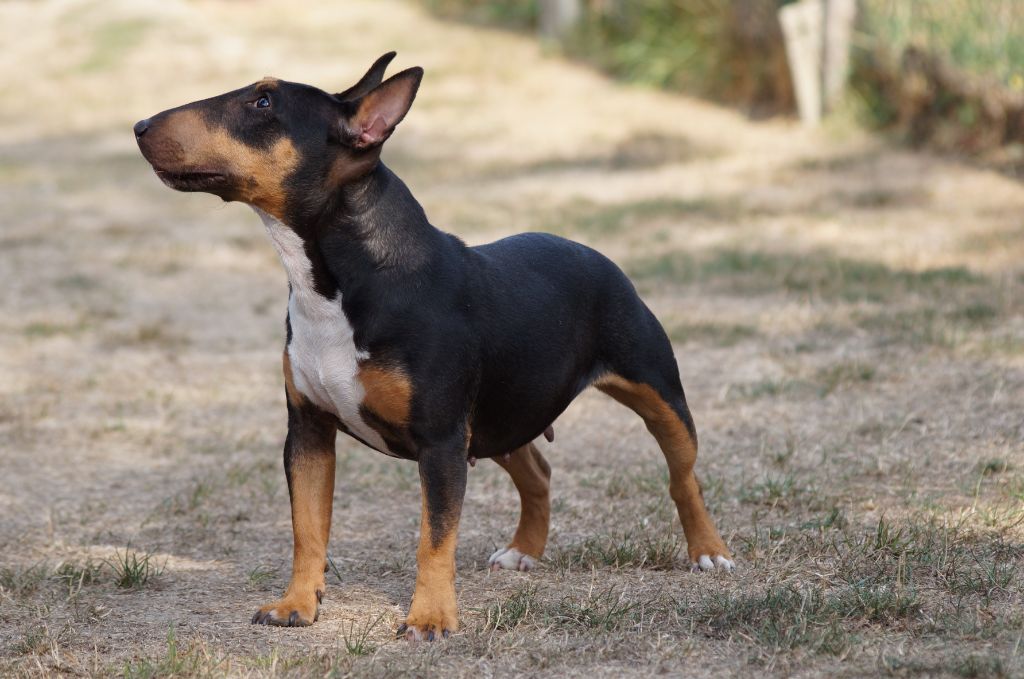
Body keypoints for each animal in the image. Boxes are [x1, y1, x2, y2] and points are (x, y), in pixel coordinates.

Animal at [132, 53, 733, 643]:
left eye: (262, 102)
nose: (140, 125)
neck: (341, 280)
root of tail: (595, 255)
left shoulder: (441, 440)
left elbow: (434, 536)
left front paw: (429, 620)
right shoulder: (307, 431)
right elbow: (307, 527)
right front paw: (296, 606)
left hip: (656, 394)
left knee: (684, 476)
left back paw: (710, 554)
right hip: (501, 416)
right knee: (538, 472)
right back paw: (524, 552)